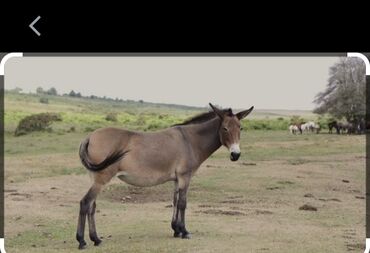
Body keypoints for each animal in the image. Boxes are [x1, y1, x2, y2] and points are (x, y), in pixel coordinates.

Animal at [75, 103, 254, 249]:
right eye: (225, 129)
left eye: (240, 128)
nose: (235, 155)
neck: (190, 140)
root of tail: (90, 136)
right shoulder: (185, 177)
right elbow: (182, 203)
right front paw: (184, 231)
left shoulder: (176, 179)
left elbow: (174, 201)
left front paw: (176, 230)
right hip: (101, 180)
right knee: (85, 203)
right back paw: (82, 241)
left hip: (96, 179)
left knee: (92, 207)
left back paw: (96, 239)